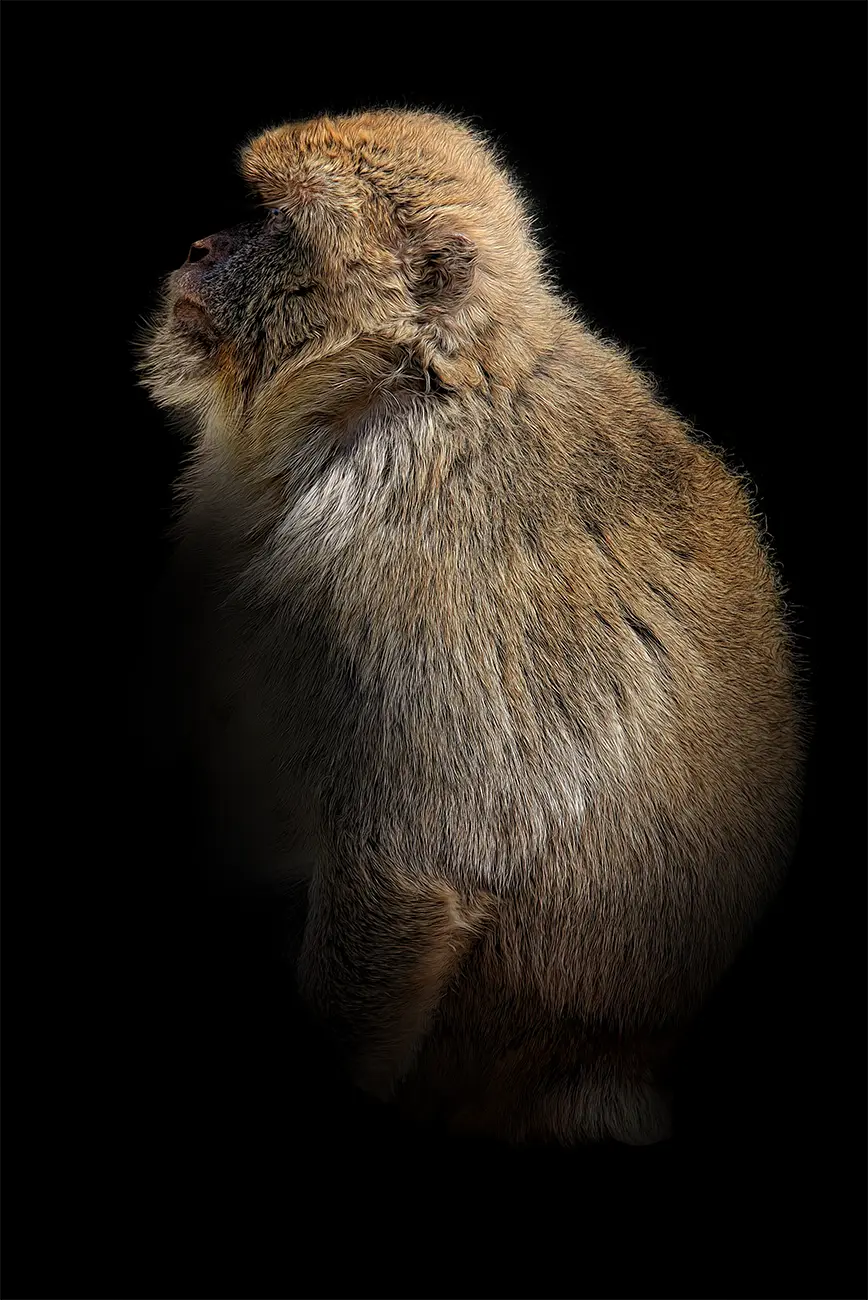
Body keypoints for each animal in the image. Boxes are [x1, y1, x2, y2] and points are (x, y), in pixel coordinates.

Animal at [140, 108, 807, 1146]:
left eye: (272, 222)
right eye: (244, 211)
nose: (200, 247)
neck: (410, 379)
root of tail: (621, 1059)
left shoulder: (397, 566)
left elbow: (410, 862)